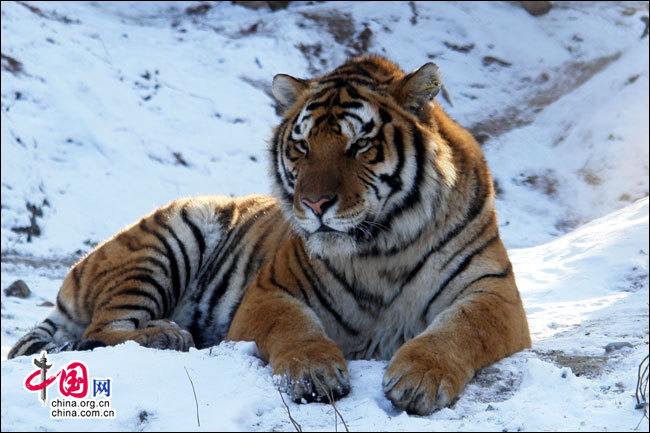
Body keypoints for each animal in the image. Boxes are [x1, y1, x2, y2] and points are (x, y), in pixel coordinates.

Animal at [7, 54, 528, 416]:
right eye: (302, 146)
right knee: (98, 334)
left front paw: (419, 378)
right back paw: (168, 336)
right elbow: (294, 327)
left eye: (359, 145)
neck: (380, 249)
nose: (315, 205)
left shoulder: (493, 292)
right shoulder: (270, 290)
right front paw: (314, 372)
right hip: (169, 236)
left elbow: (460, 329)